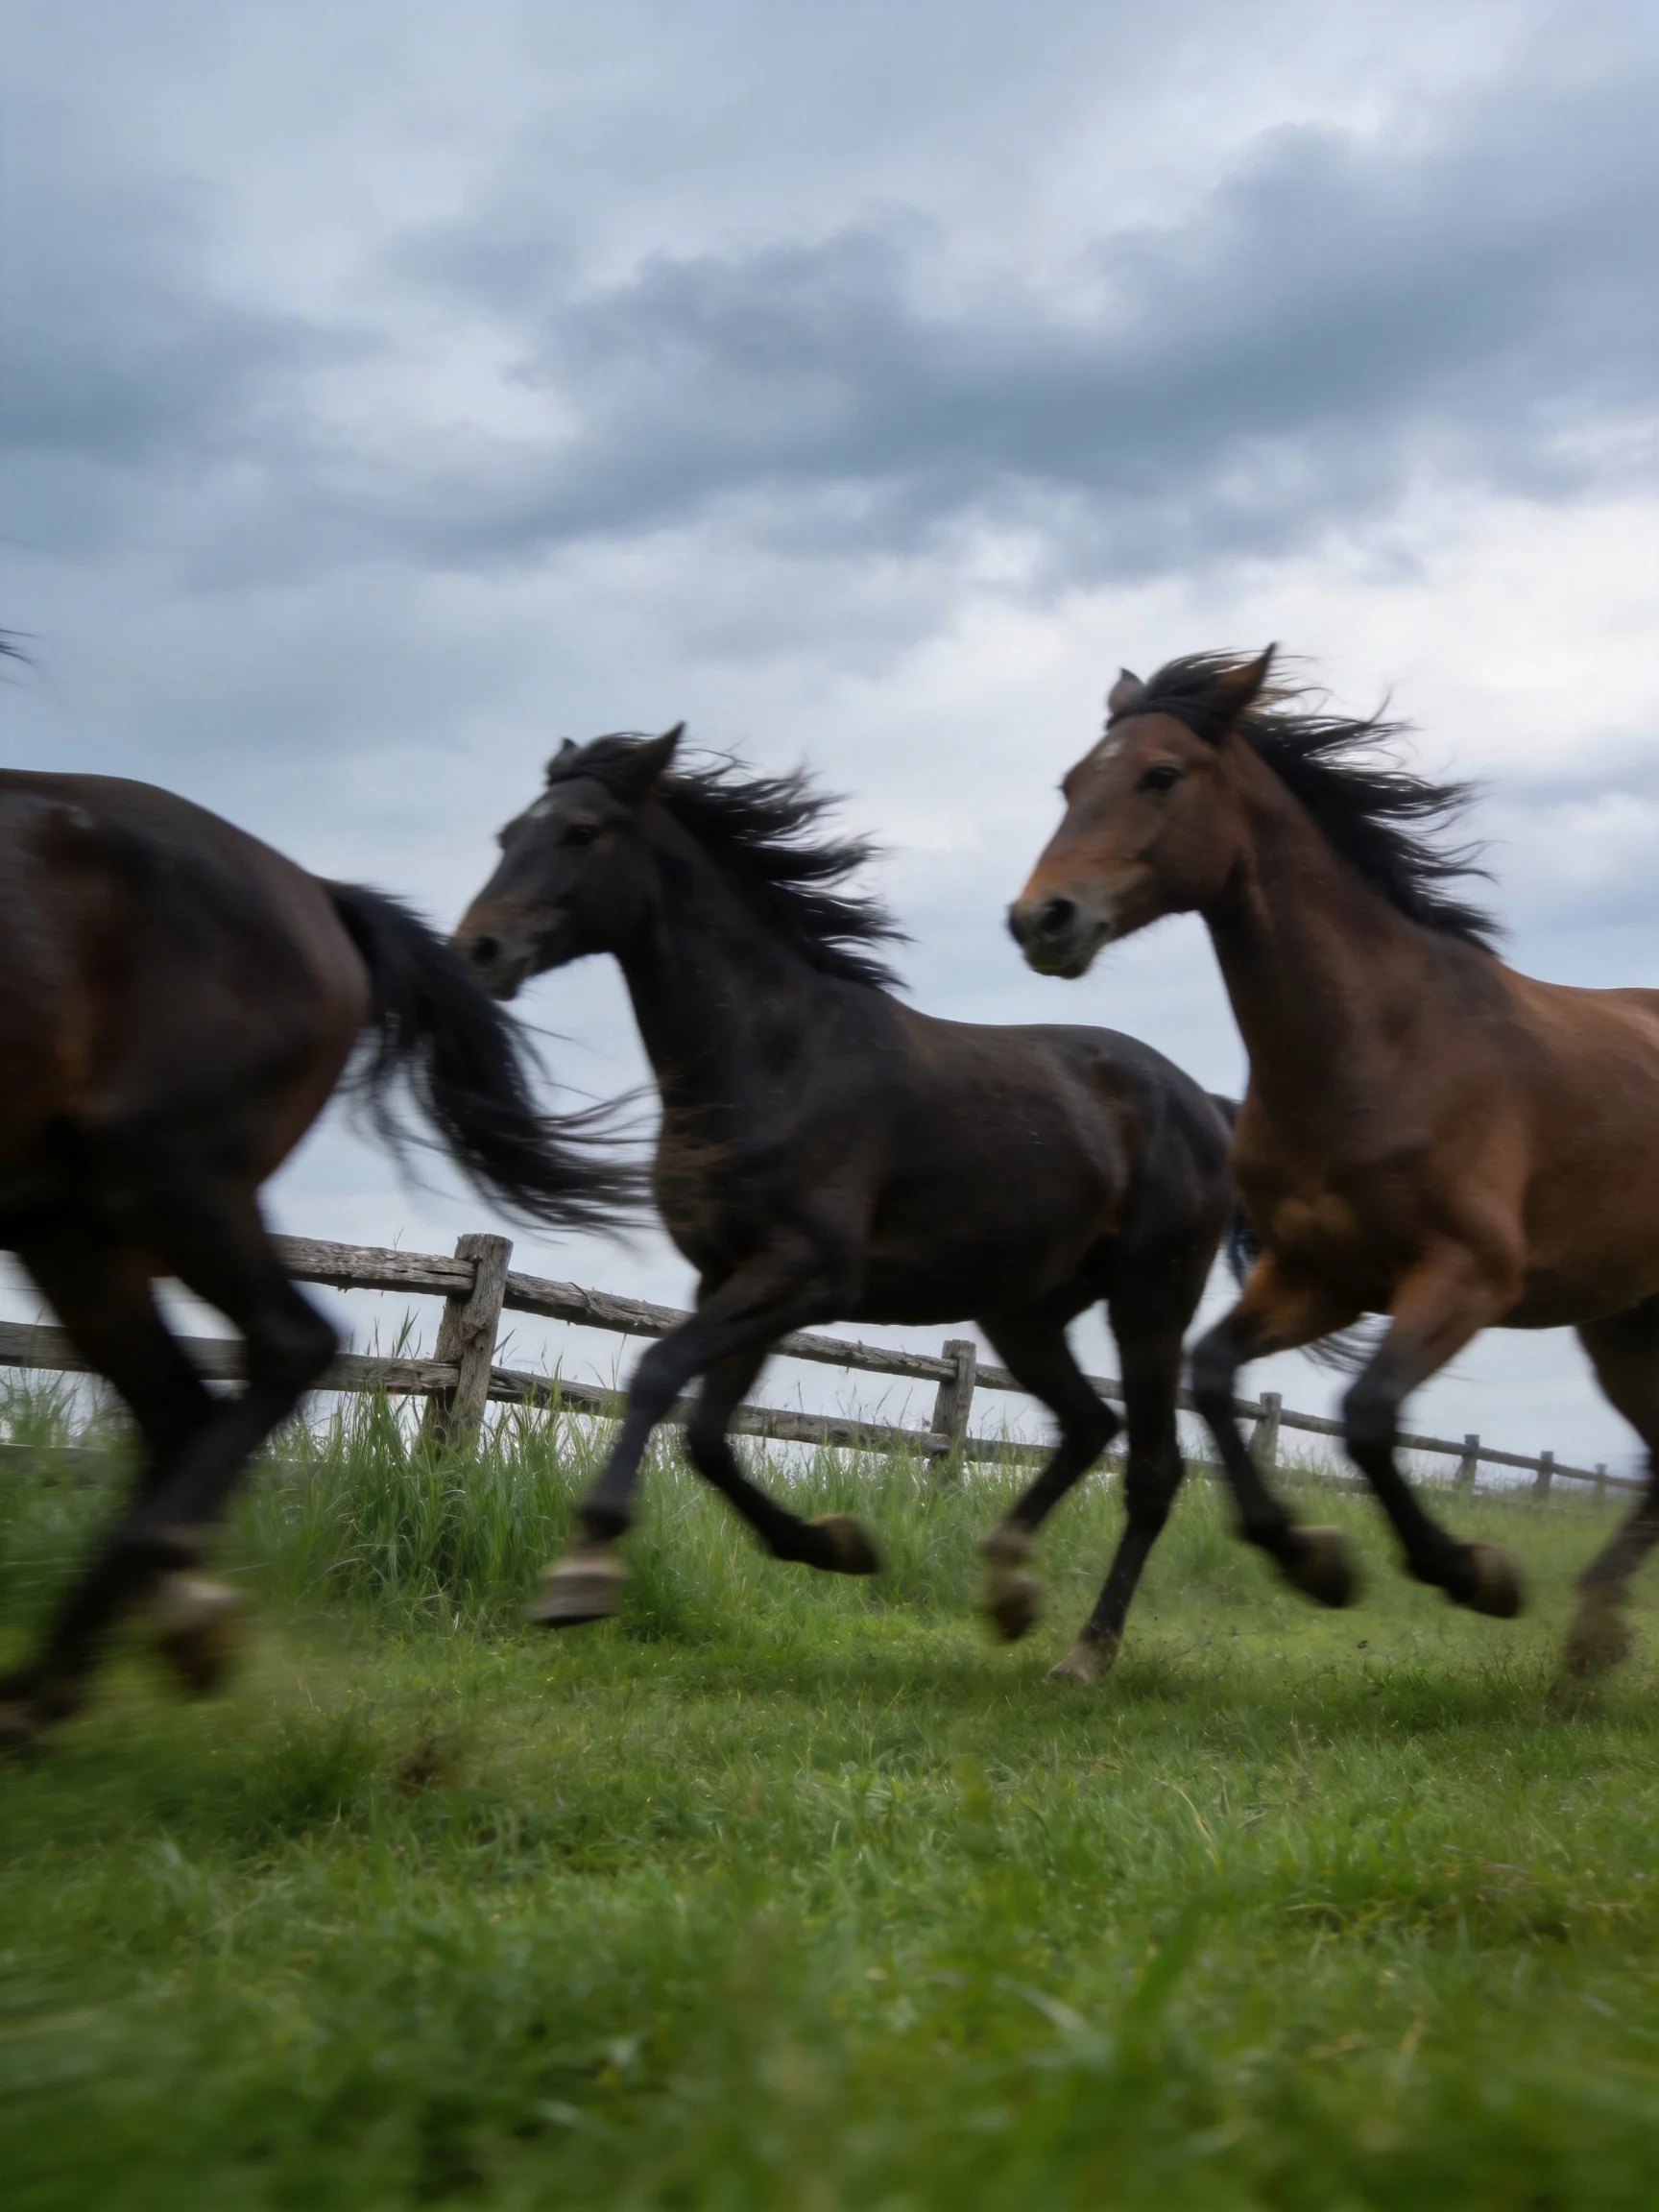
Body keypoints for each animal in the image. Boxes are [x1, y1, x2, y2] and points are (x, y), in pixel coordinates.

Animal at [454, 725, 1245, 1680]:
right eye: (505, 835)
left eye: (580, 831)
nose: (479, 950)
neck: (777, 1057)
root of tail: (1205, 1103)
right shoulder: (729, 1274)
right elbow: (707, 1436)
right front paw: (837, 1546)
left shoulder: (806, 1271)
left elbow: (658, 1373)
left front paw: (582, 1572)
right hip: (1023, 1312)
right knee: (1089, 1426)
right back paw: (1008, 1590)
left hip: (1151, 1298)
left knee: (1153, 1469)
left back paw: (1085, 1653)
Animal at [1010, 647, 1659, 1680]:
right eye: (1072, 783)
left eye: (1161, 774)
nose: (1041, 920)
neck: (1387, 1046)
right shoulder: (1322, 1278)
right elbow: (1215, 1376)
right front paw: (1310, 1558)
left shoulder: (1467, 1276)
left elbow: (1367, 1414)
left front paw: (1473, 1574)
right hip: (1625, 1324)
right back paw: (1590, 1649)